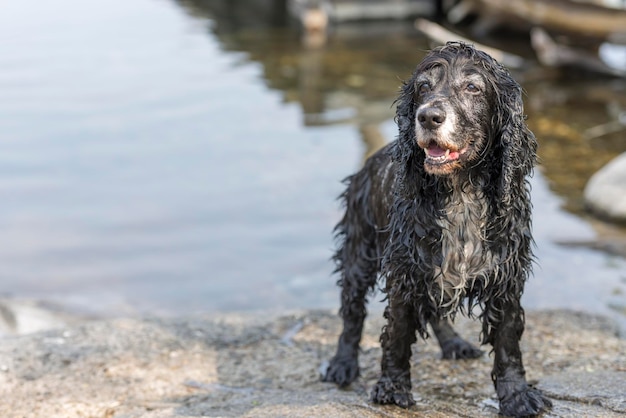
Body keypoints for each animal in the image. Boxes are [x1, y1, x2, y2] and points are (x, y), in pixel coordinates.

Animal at [322, 43, 552, 418]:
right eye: (423, 87)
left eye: (473, 87)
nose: (429, 117)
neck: (460, 192)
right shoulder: (405, 271)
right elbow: (398, 333)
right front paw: (392, 387)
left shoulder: (505, 277)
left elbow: (507, 343)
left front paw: (517, 396)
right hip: (359, 249)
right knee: (352, 314)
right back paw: (343, 363)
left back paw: (454, 343)